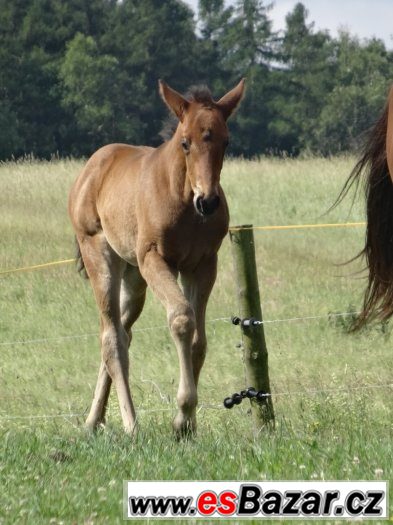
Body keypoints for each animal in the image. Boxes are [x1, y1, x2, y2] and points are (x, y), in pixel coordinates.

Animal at [69, 78, 243, 434]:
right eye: (185, 143)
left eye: (226, 141)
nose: (208, 201)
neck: (184, 200)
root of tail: (90, 170)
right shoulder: (155, 259)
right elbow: (181, 318)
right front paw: (183, 413)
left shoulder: (204, 264)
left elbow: (199, 340)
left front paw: (187, 424)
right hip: (101, 257)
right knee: (112, 338)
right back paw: (131, 425)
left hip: (134, 277)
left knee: (123, 332)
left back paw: (94, 420)